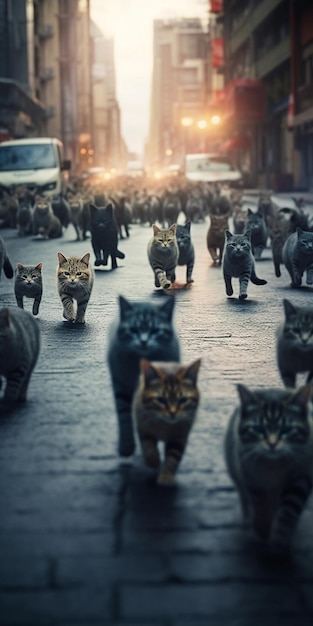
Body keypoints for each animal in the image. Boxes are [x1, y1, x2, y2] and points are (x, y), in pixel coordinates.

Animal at [106, 294, 178, 456]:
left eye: (155, 330)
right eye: (133, 330)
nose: (143, 341)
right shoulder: (120, 387)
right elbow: (124, 418)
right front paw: (127, 447)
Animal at [223, 380, 312, 552]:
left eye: (286, 429)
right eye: (259, 429)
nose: (272, 444)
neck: (273, 466)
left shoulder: (301, 477)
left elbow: (288, 512)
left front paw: (280, 540)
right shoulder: (249, 474)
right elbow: (260, 505)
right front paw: (262, 528)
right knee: (246, 500)